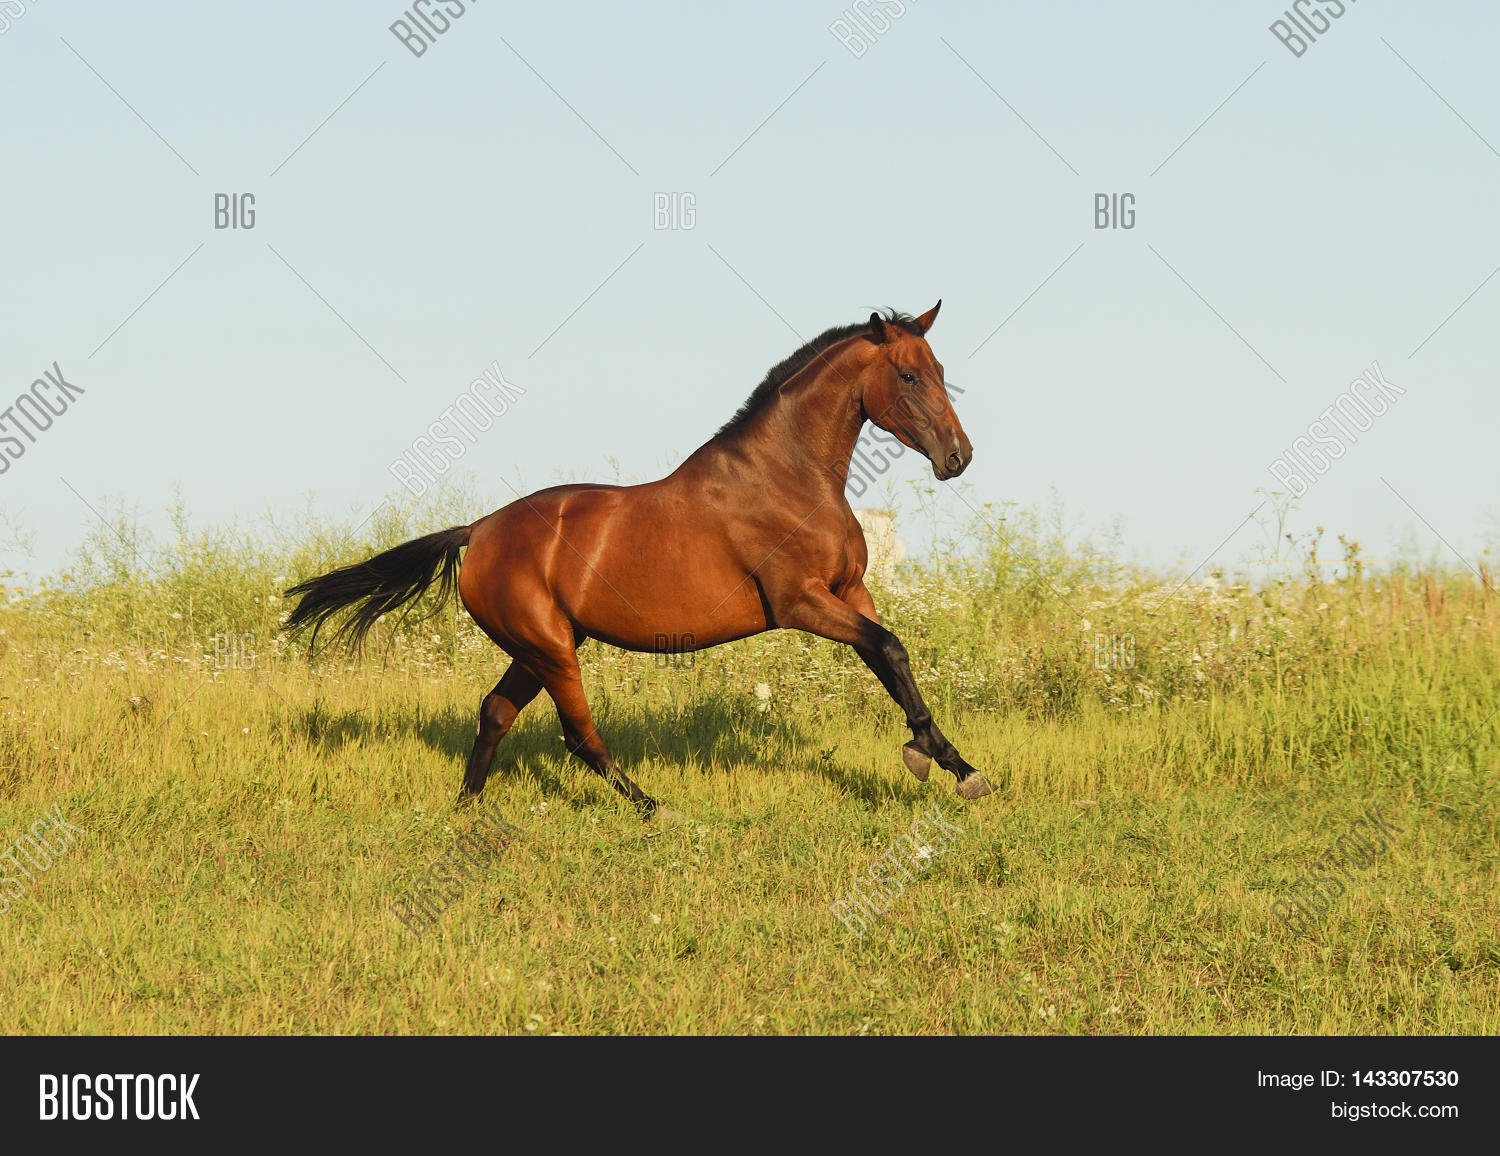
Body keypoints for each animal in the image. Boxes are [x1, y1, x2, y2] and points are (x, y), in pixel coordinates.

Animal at [282, 301, 993, 817]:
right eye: (908, 375)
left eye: (938, 367)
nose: (958, 457)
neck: (787, 477)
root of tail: (478, 531)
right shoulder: (801, 603)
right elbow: (891, 648)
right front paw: (946, 764)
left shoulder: (849, 593)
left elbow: (889, 657)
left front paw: (948, 760)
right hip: (550, 649)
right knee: (577, 734)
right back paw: (655, 808)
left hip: (540, 646)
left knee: (495, 713)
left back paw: (466, 809)